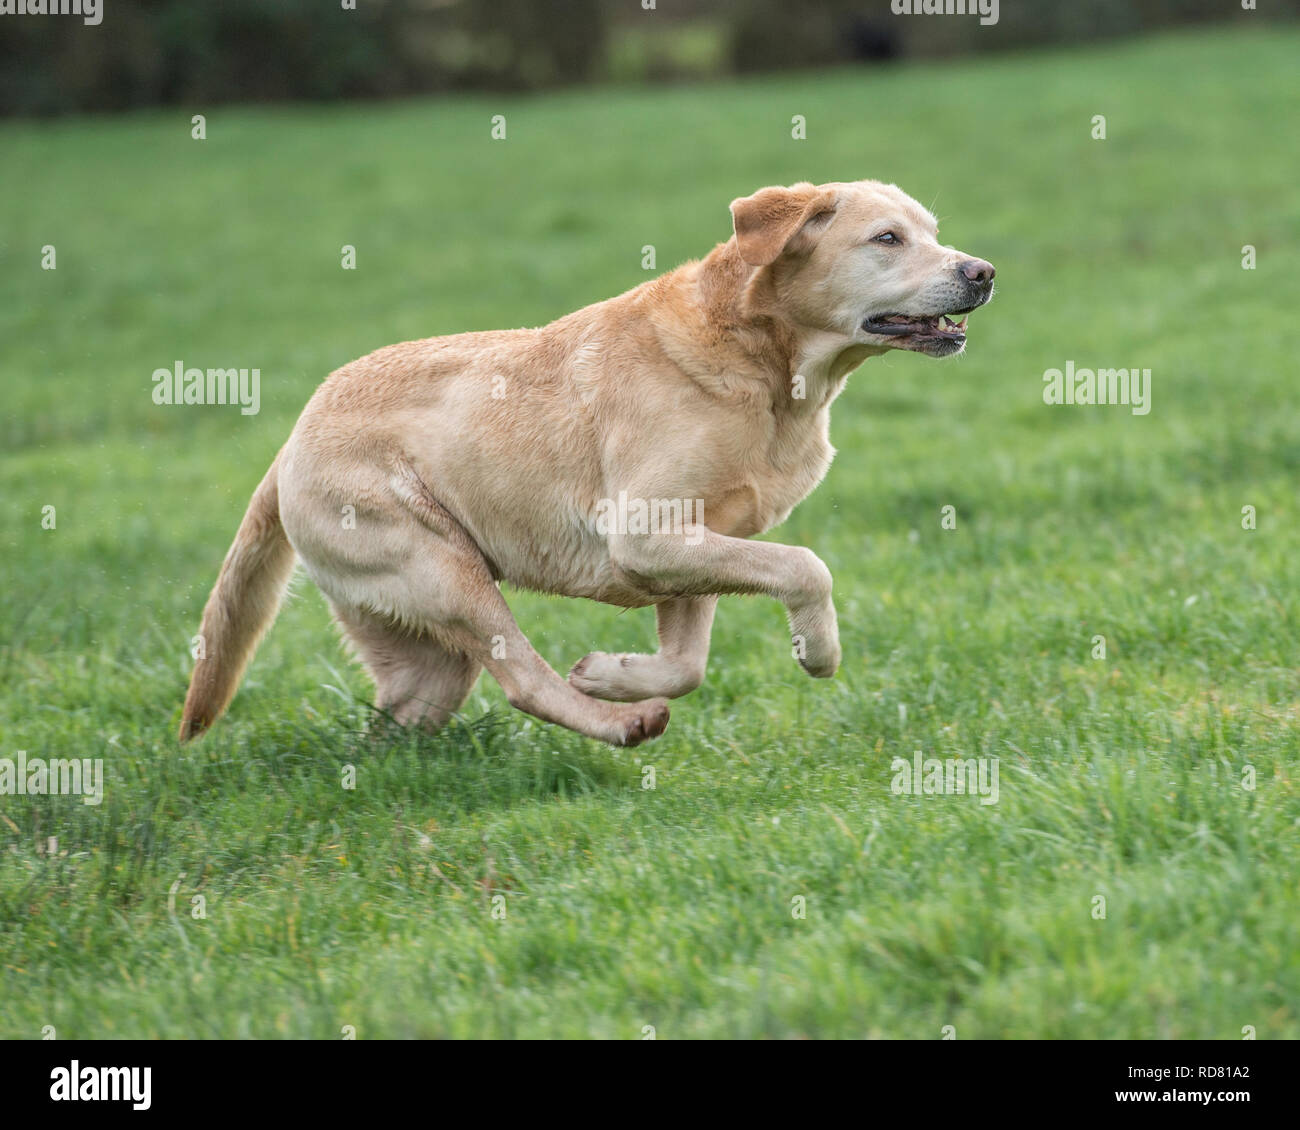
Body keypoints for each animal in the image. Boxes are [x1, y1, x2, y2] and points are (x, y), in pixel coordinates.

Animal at [180, 180, 993, 748]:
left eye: (932, 233)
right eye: (887, 238)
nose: (983, 271)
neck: (767, 366)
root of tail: (290, 442)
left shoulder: (695, 549)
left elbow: (687, 664)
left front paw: (612, 673)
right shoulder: (647, 536)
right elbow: (806, 566)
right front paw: (817, 652)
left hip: (425, 649)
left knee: (403, 715)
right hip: (446, 571)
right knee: (523, 680)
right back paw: (618, 727)